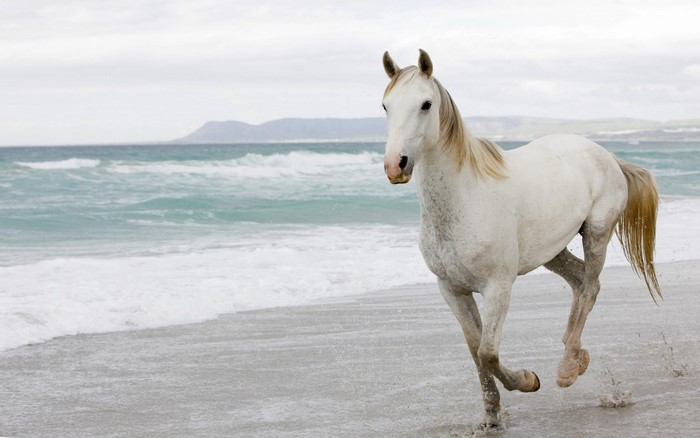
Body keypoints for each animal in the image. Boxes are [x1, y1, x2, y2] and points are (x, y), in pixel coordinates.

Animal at [381, 49, 662, 429]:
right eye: (386, 105)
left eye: (425, 104)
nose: (396, 165)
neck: (465, 199)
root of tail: (605, 155)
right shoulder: (452, 289)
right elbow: (475, 350)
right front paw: (491, 415)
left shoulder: (498, 287)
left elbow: (487, 351)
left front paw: (529, 380)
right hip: (552, 250)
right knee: (579, 282)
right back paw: (574, 353)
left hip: (597, 234)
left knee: (590, 287)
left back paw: (567, 368)